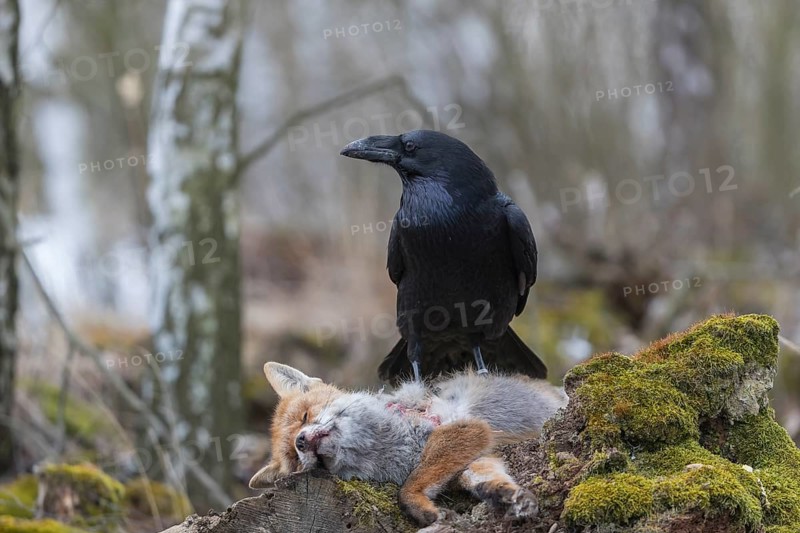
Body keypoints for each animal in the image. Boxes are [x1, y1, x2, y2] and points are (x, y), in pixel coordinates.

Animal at [249, 362, 568, 526]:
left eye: (304, 417)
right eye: (294, 457)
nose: (301, 441)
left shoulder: (468, 430)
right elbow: (481, 481)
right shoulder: (475, 458)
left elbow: (407, 489)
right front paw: (508, 495)